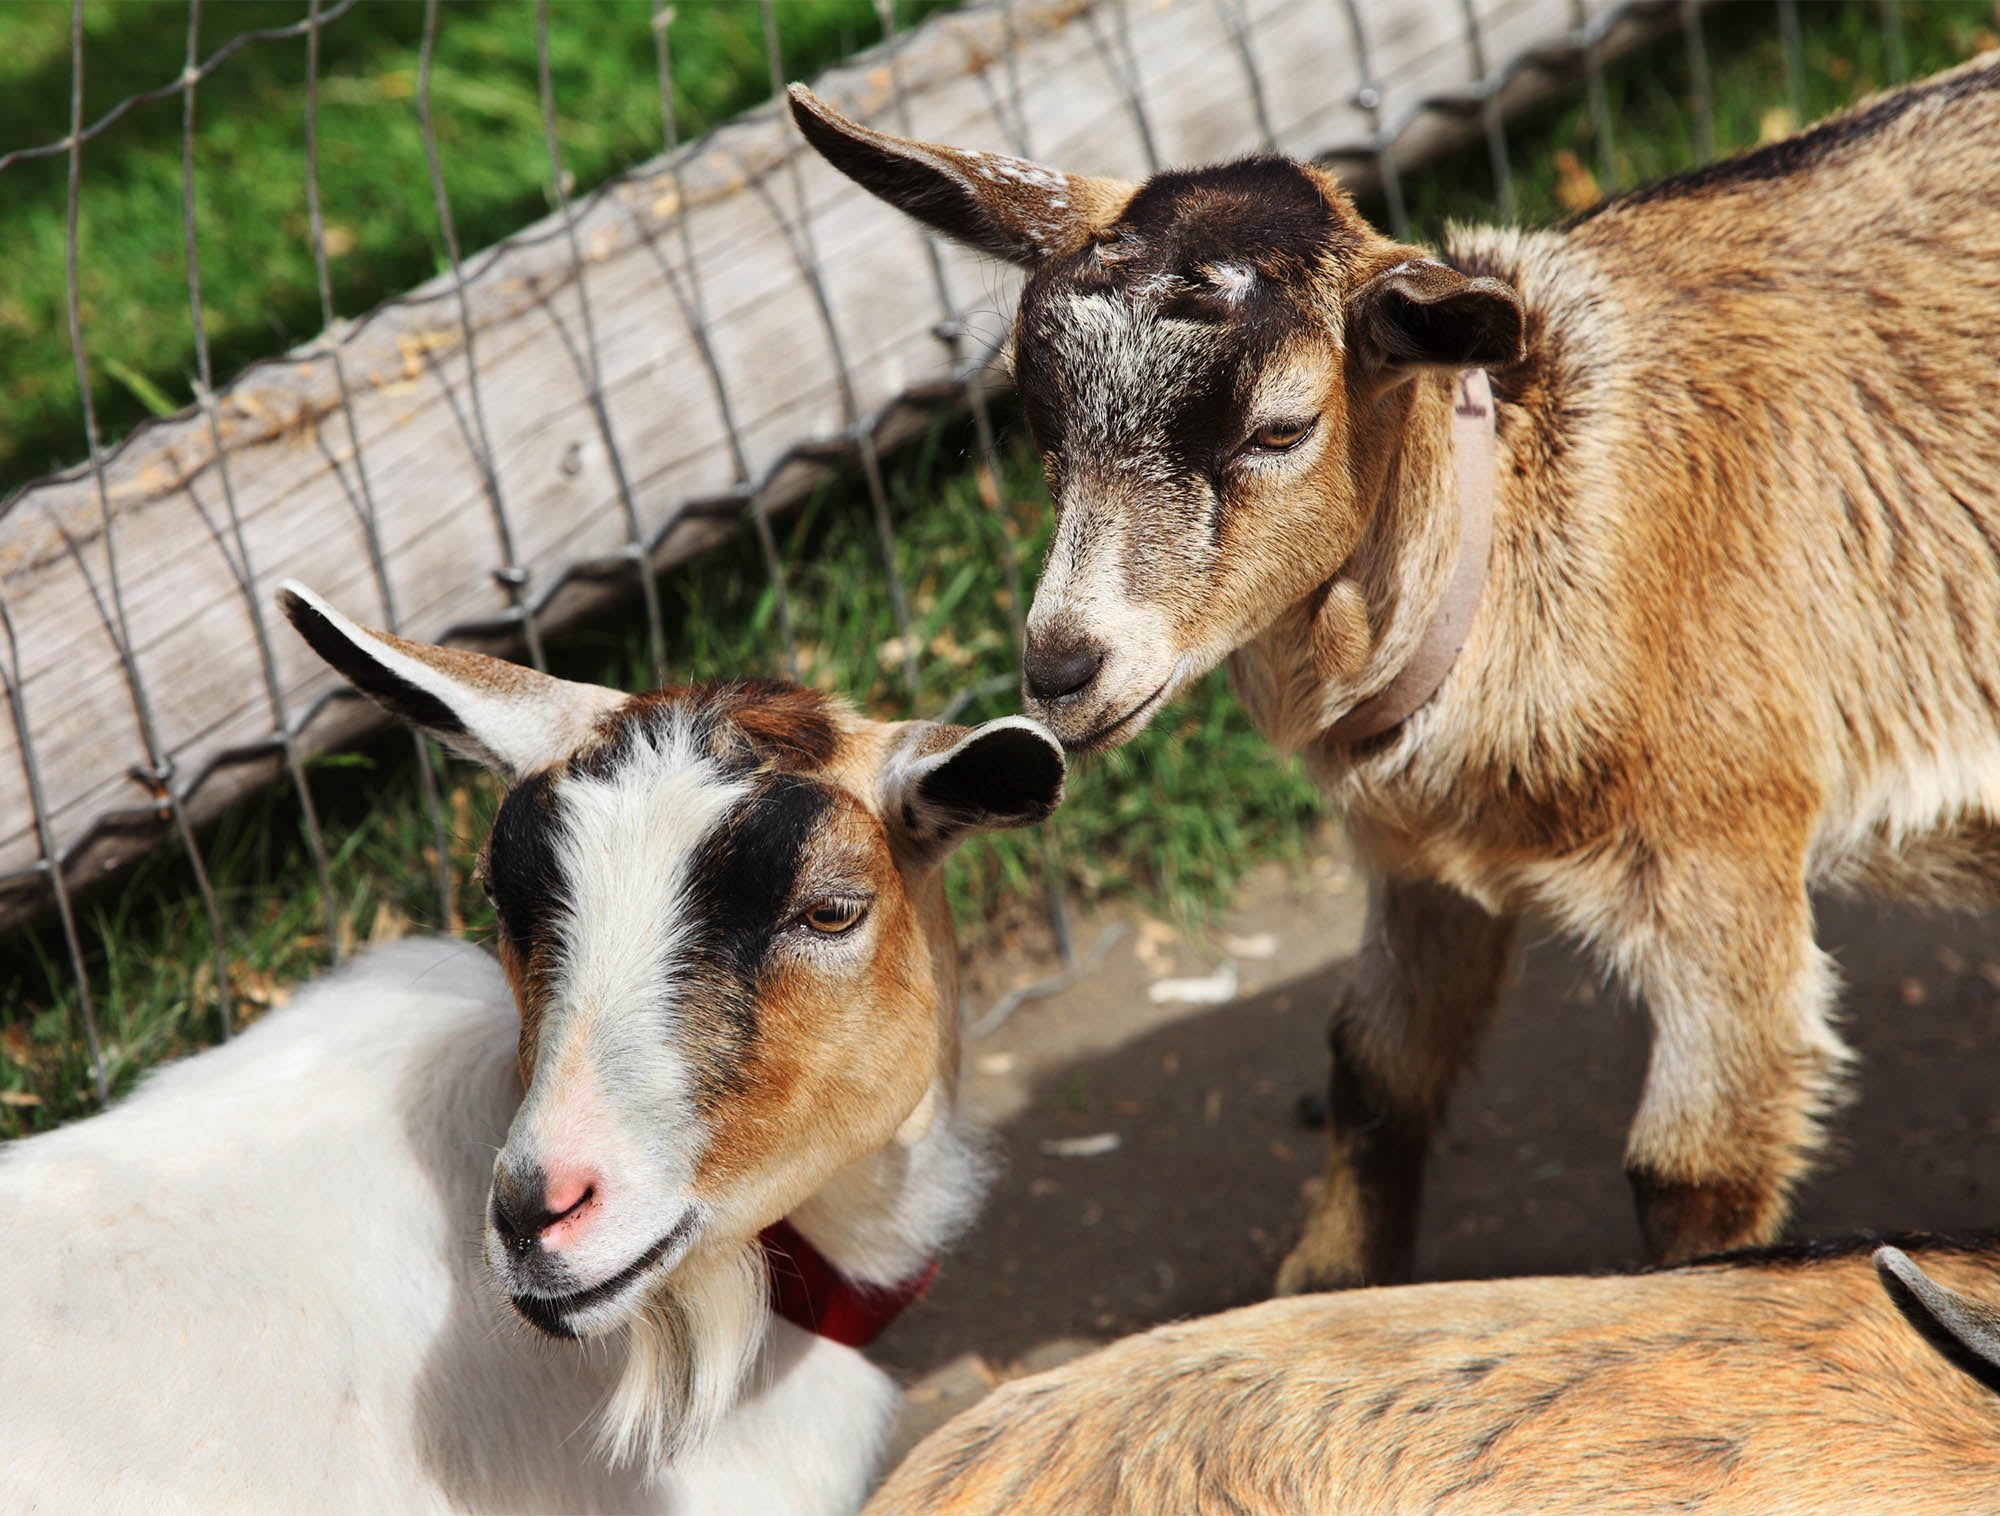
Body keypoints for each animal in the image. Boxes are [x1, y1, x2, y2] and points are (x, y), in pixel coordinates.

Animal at [784, 59, 2000, 1296]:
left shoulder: (1727, 844)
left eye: (1279, 428)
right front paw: (1318, 1285)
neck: (1520, 536)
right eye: (1037, 420)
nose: (1061, 666)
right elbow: (1371, 1069)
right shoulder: (1425, 864)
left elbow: (1693, 1167)